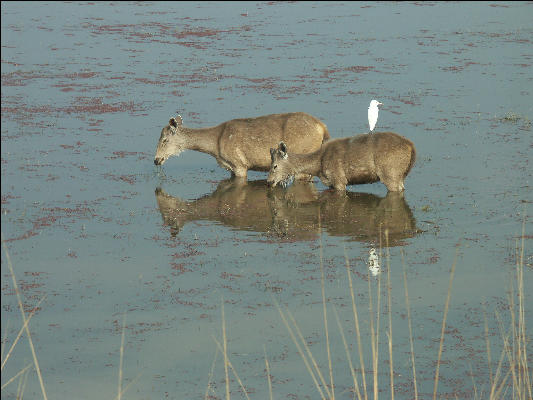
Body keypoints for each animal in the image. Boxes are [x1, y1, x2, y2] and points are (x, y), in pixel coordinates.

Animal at [266, 131, 416, 192]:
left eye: (275, 166)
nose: (269, 182)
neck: (318, 167)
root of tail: (412, 147)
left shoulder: (338, 178)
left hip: (390, 172)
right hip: (400, 175)